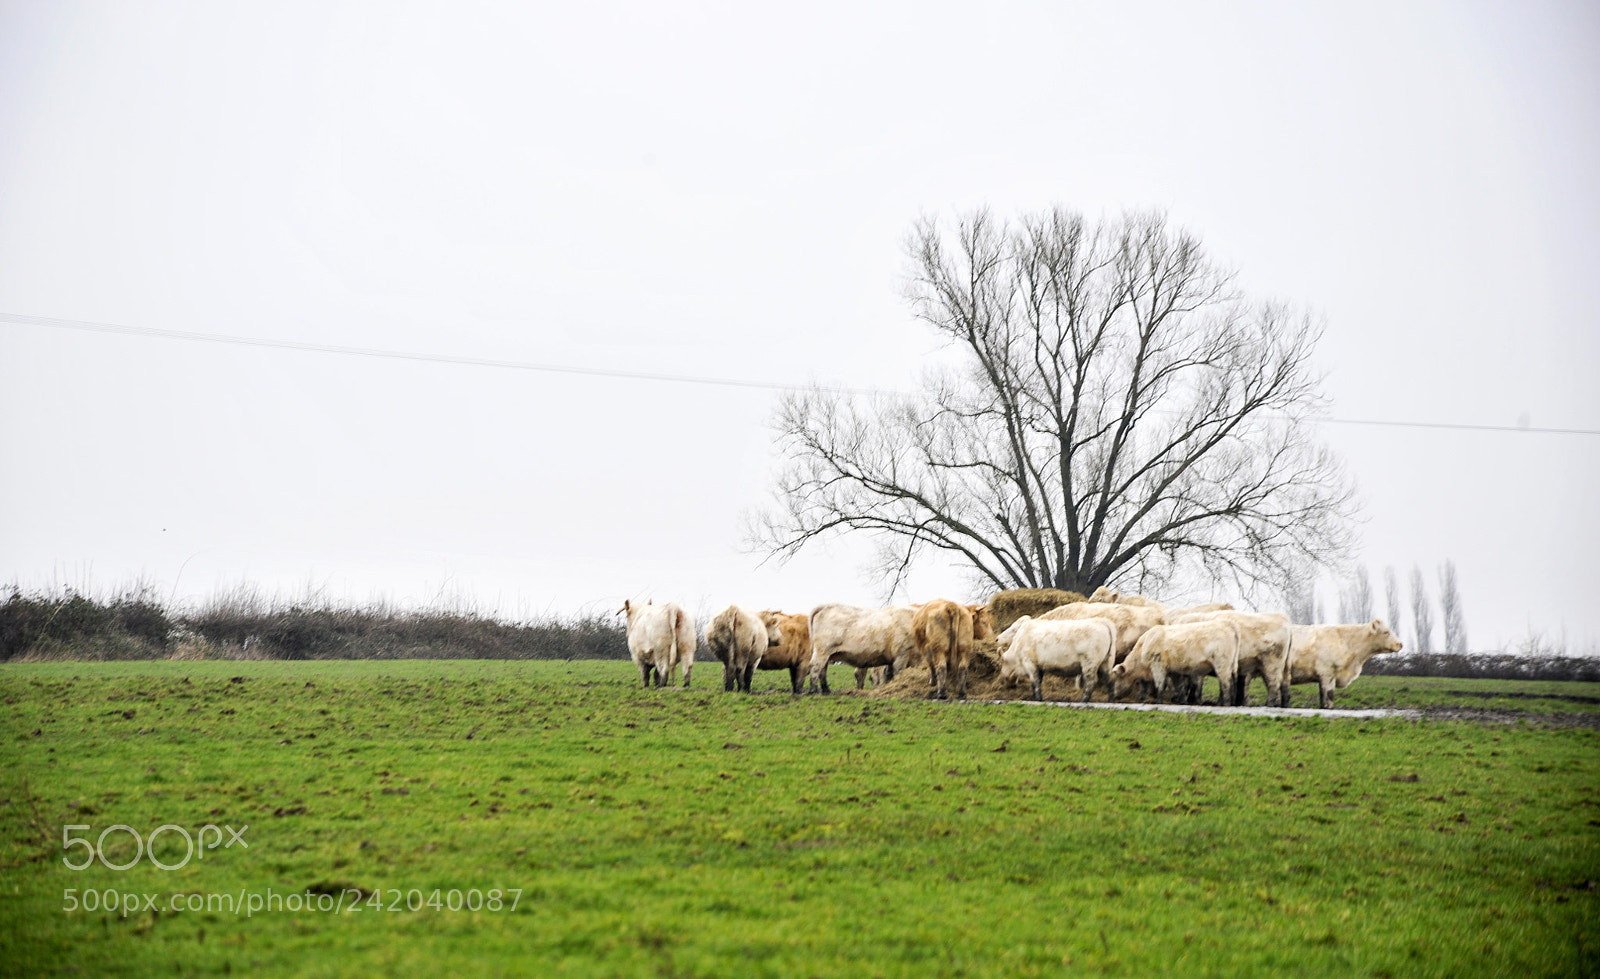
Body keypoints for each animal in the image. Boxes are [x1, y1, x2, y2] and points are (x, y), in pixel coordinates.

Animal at [1111, 619, 1240, 705]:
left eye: (1117, 678)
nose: (1114, 695)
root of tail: (1228, 624)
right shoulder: (1174, 672)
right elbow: (1180, 686)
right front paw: (1183, 701)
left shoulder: (1158, 666)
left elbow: (1160, 685)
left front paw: (1159, 701)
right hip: (1231, 666)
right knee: (1232, 682)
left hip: (1222, 666)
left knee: (1226, 684)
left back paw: (1226, 703)